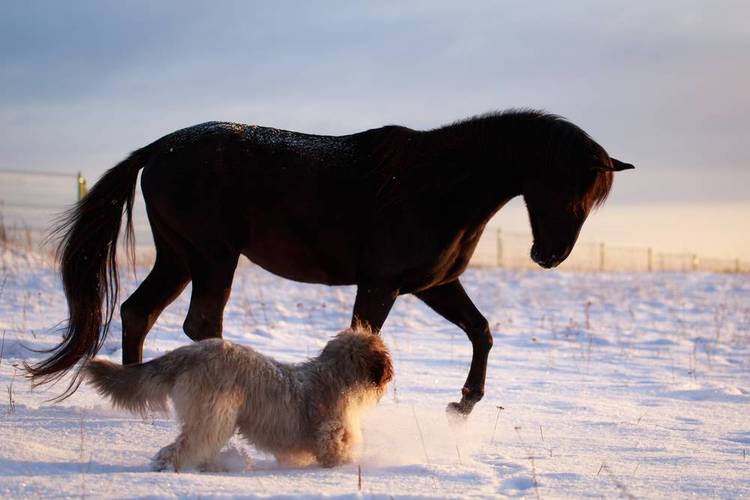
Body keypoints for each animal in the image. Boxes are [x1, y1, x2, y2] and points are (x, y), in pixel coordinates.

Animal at [27, 109, 636, 414]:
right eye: (569, 190)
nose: (548, 256)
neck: (438, 184)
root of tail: (158, 149)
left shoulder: (434, 285)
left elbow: (481, 331)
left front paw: (465, 402)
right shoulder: (381, 285)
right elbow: (365, 340)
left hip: (180, 257)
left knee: (139, 312)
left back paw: (138, 396)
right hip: (213, 257)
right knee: (199, 324)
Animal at [85, 330, 394, 470]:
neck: (335, 374)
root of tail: (189, 352)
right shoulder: (332, 432)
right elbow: (336, 451)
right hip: (214, 414)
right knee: (182, 447)